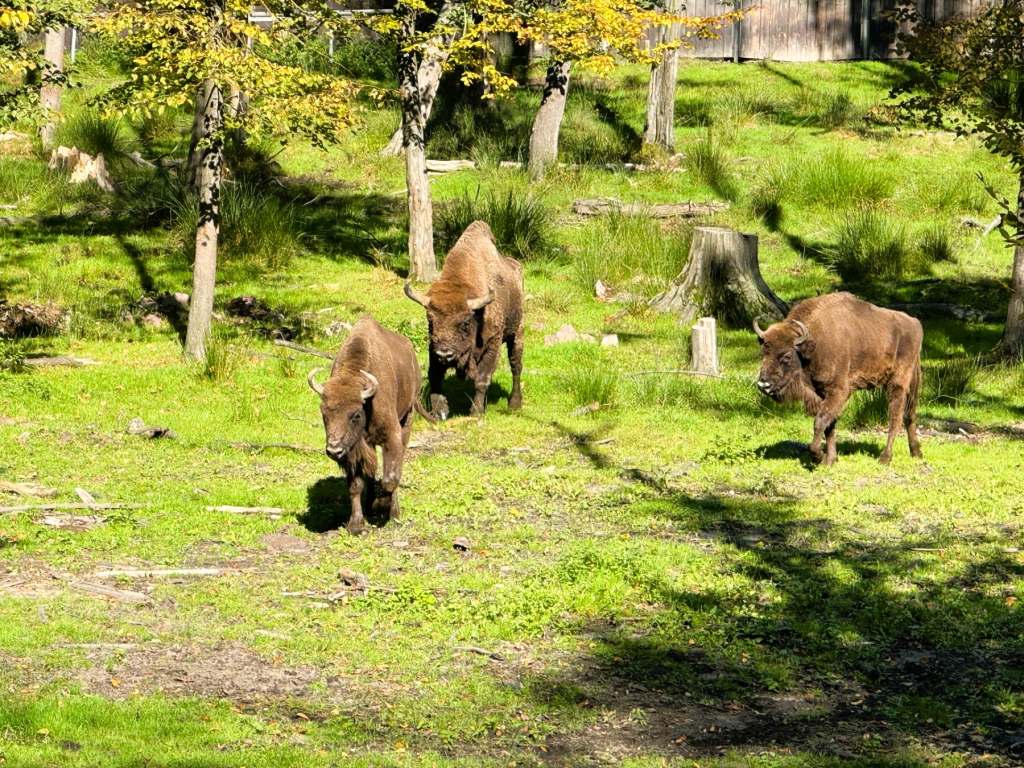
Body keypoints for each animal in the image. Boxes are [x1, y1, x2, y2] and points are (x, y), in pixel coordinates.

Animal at [307, 315, 428, 532]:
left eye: (355, 414)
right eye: (324, 413)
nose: (334, 450)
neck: (367, 402)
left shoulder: (391, 436)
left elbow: (390, 478)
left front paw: (382, 507)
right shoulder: (353, 450)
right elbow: (356, 485)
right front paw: (356, 525)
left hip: (407, 420)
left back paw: (393, 513)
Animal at [403, 219, 524, 421]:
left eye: (465, 323)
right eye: (430, 321)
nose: (445, 355)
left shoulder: (493, 344)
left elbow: (482, 379)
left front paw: (476, 412)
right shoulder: (433, 348)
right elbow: (435, 376)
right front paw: (439, 412)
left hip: (517, 333)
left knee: (516, 366)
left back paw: (514, 404)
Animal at [753, 290, 929, 466]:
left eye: (787, 356)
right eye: (763, 353)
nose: (763, 384)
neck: (813, 344)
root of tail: (915, 323)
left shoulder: (839, 392)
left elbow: (820, 422)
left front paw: (818, 456)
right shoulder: (822, 394)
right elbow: (829, 425)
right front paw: (830, 460)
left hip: (898, 383)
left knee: (896, 417)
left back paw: (885, 458)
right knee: (910, 415)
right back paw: (916, 452)